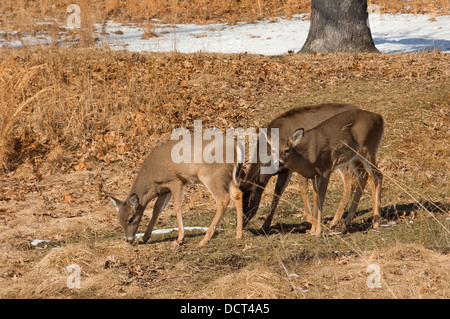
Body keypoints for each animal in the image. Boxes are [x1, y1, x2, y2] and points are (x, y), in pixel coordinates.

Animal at [110, 133, 244, 248]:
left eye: (130, 219)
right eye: (119, 220)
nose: (128, 240)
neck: (151, 177)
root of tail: (236, 146)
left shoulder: (175, 180)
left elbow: (177, 205)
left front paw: (180, 238)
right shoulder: (165, 189)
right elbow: (157, 209)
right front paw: (144, 238)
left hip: (210, 175)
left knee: (223, 199)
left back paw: (204, 240)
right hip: (226, 176)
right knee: (237, 194)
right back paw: (238, 234)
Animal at [239, 104, 366, 234]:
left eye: (247, 201)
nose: (241, 224)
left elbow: (302, 188)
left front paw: (310, 221)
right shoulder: (287, 170)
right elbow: (278, 194)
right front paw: (265, 225)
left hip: (341, 156)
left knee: (350, 182)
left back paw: (335, 221)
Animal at [272, 110, 384, 238]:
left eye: (287, 150)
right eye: (273, 151)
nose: (278, 163)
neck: (306, 158)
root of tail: (380, 118)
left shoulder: (325, 170)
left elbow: (321, 198)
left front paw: (318, 232)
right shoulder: (315, 175)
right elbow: (315, 198)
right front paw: (312, 230)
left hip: (367, 149)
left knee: (377, 175)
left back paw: (376, 223)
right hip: (355, 157)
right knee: (364, 176)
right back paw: (348, 221)